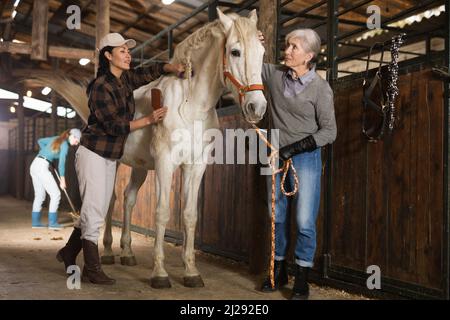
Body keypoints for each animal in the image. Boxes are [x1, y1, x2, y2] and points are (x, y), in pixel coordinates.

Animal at [37, 8, 268, 288]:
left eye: (262, 51)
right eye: (235, 51)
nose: (257, 107)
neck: (190, 106)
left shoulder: (196, 165)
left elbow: (190, 216)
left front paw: (191, 272)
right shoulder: (165, 163)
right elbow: (162, 213)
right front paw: (160, 273)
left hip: (140, 168)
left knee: (128, 199)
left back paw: (127, 253)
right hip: (114, 165)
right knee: (109, 202)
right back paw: (108, 253)